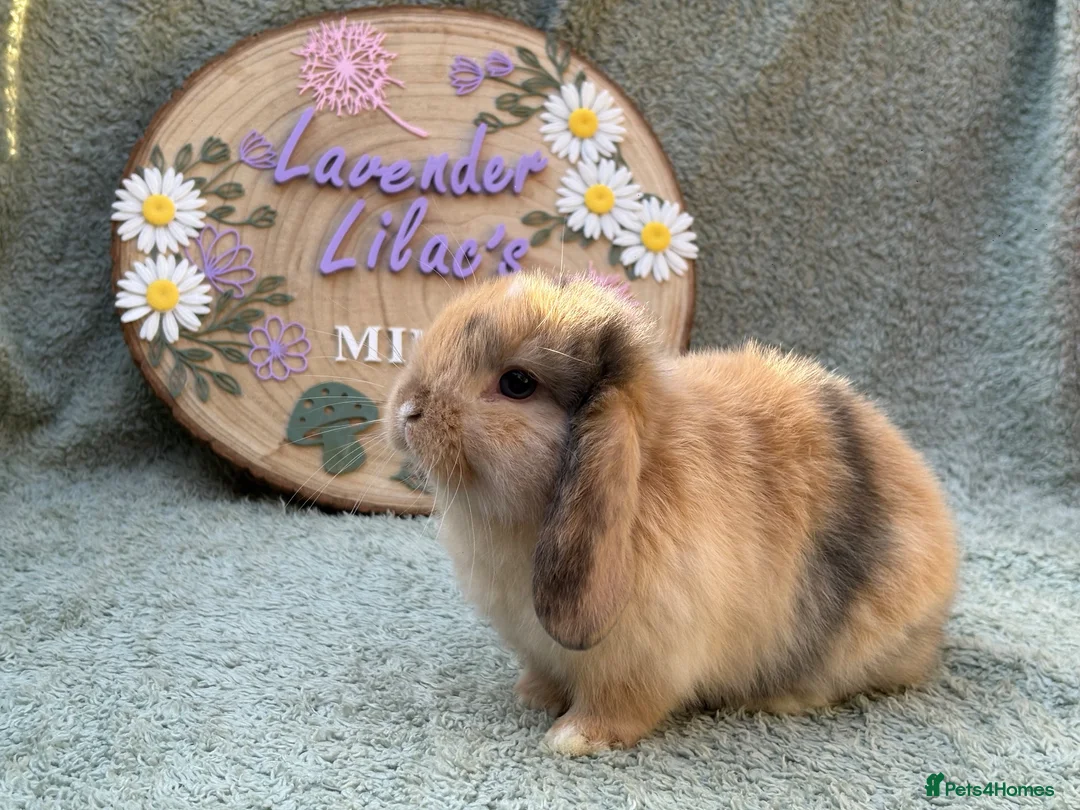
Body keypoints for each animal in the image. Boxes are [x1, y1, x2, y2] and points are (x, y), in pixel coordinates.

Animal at [387, 269, 957, 755]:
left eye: (517, 384)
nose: (407, 409)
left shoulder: (642, 658)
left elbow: (620, 704)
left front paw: (573, 738)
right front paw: (533, 695)